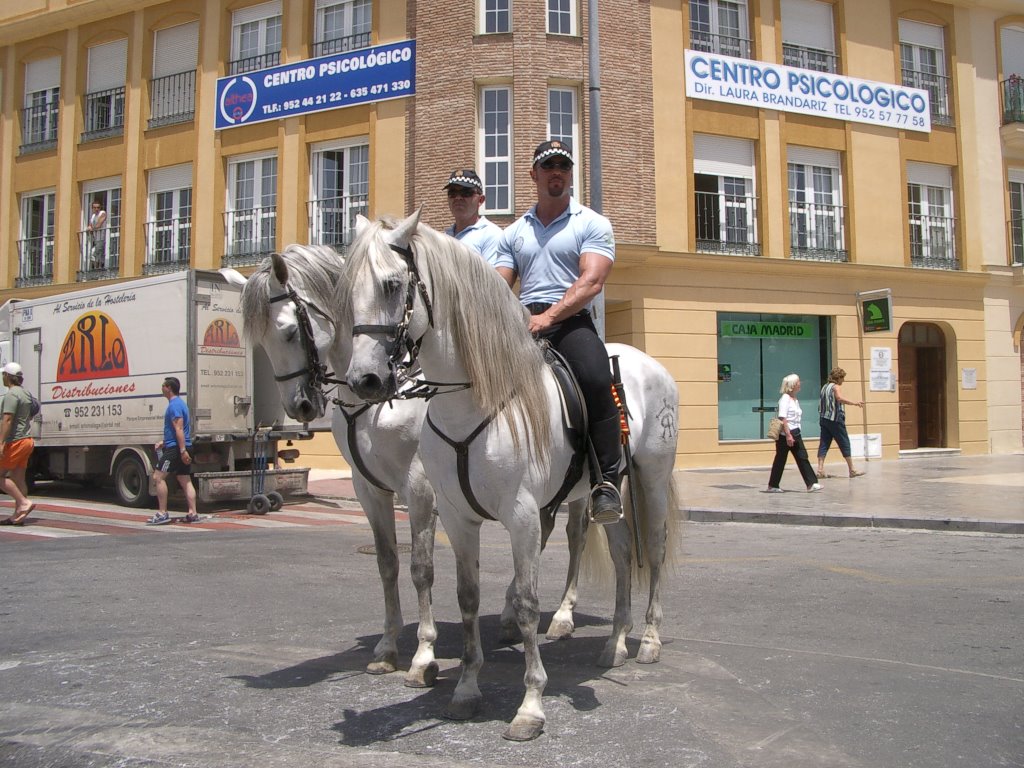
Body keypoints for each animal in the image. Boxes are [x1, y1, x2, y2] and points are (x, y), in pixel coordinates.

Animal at [224, 247, 440, 692]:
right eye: (260, 342)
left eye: (290, 331)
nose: (300, 406)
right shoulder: (369, 489)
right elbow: (387, 563)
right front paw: (387, 649)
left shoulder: (420, 489)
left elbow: (421, 569)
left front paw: (423, 656)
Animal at [339, 214, 684, 741]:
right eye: (347, 289)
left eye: (393, 285)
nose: (365, 381)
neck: (473, 400)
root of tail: (651, 365)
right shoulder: (457, 517)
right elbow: (467, 596)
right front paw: (465, 690)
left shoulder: (521, 515)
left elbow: (524, 603)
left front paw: (530, 707)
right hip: (611, 491)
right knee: (625, 553)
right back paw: (615, 644)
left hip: (650, 477)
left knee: (657, 550)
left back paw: (647, 640)